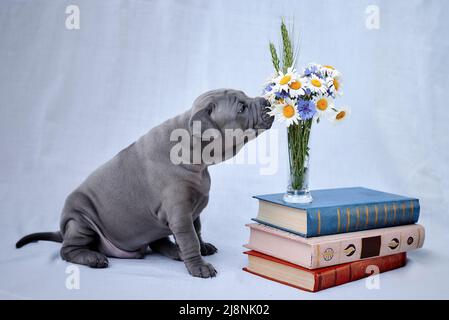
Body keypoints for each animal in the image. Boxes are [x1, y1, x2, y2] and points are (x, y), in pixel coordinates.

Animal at [15, 89, 272, 278]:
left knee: (158, 242)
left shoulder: (192, 209)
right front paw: (198, 266)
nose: (267, 101)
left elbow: (197, 231)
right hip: (80, 221)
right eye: (241, 107)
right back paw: (93, 257)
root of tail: (62, 229)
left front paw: (203, 247)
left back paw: (174, 251)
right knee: (67, 250)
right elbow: (189, 239)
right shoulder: (180, 213)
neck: (196, 154)